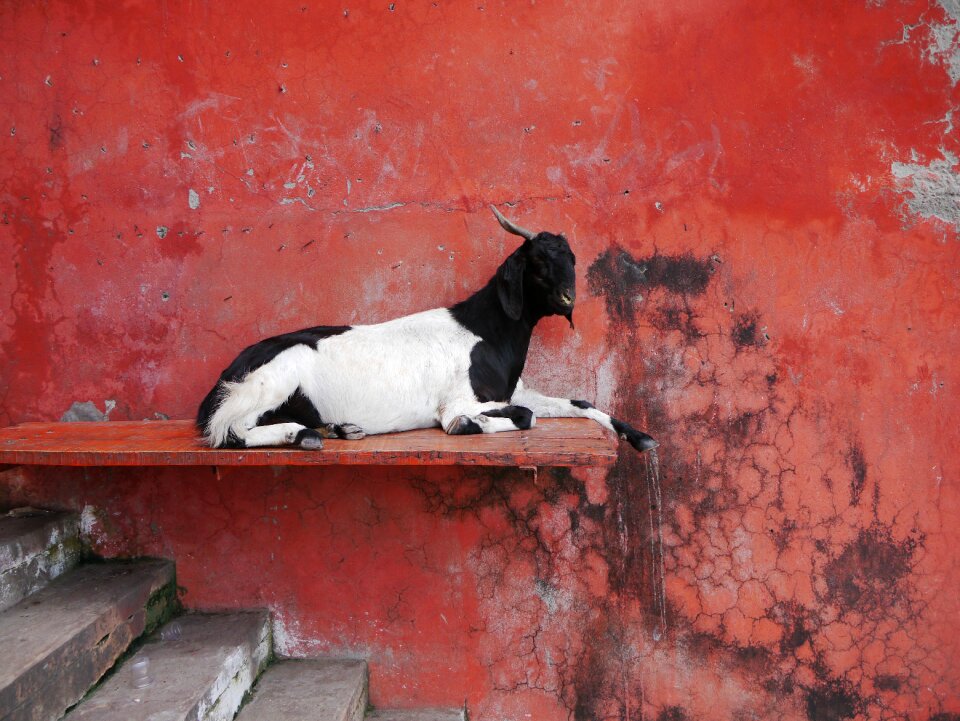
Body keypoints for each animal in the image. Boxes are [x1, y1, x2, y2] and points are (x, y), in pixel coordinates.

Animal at [195, 205, 660, 450]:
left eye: (571, 259)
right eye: (538, 262)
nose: (568, 299)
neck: (485, 331)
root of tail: (227, 374)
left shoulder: (514, 391)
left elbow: (580, 402)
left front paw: (640, 437)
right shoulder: (459, 400)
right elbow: (522, 417)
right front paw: (470, 426)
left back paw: (339, 428)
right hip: (272, 380)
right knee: (230, 430)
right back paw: (303, 434)